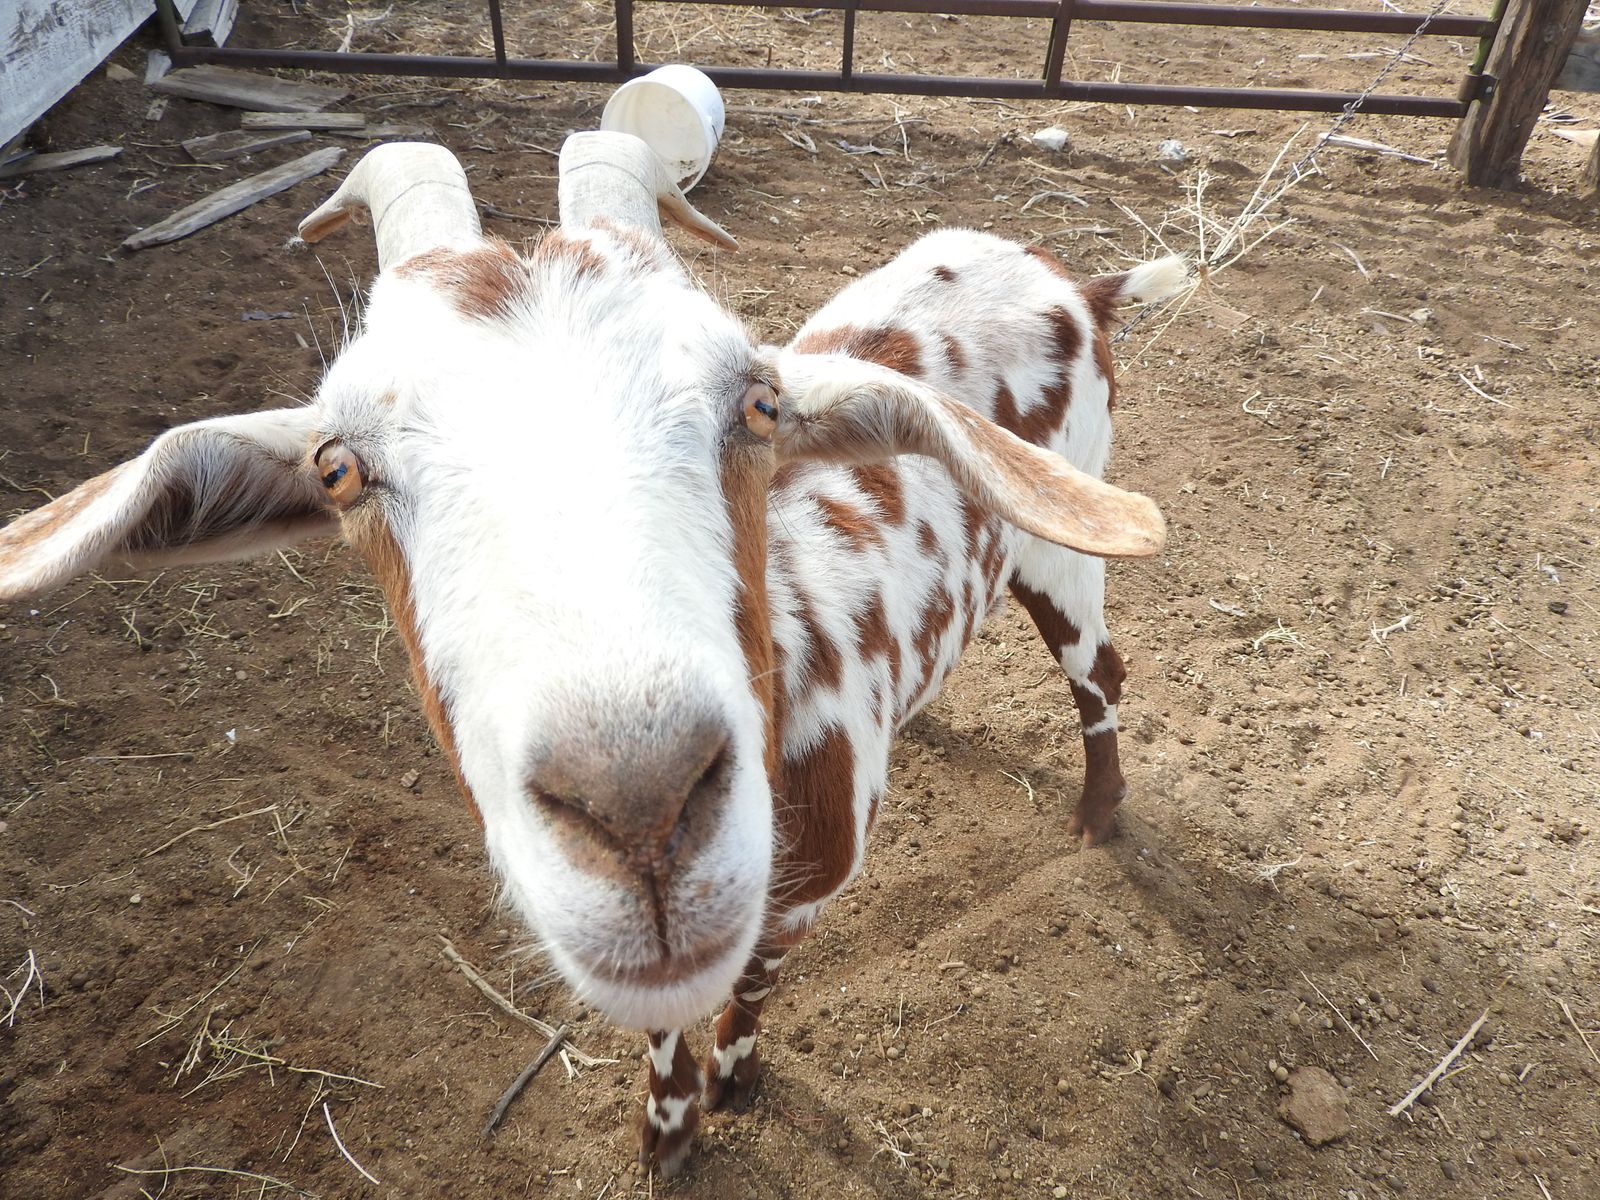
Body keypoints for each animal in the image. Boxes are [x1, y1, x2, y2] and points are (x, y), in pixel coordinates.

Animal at [0, 134, 1182, 1176]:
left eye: (759, 402)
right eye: (337, 469)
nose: (639, 810)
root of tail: (1079, 283)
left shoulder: (803, 892)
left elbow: (751, 980)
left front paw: (729, 1088)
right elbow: (660, 1020)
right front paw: (667, 1130)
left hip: (1059, 542)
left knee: (1101, 672)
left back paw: (1096, 813)